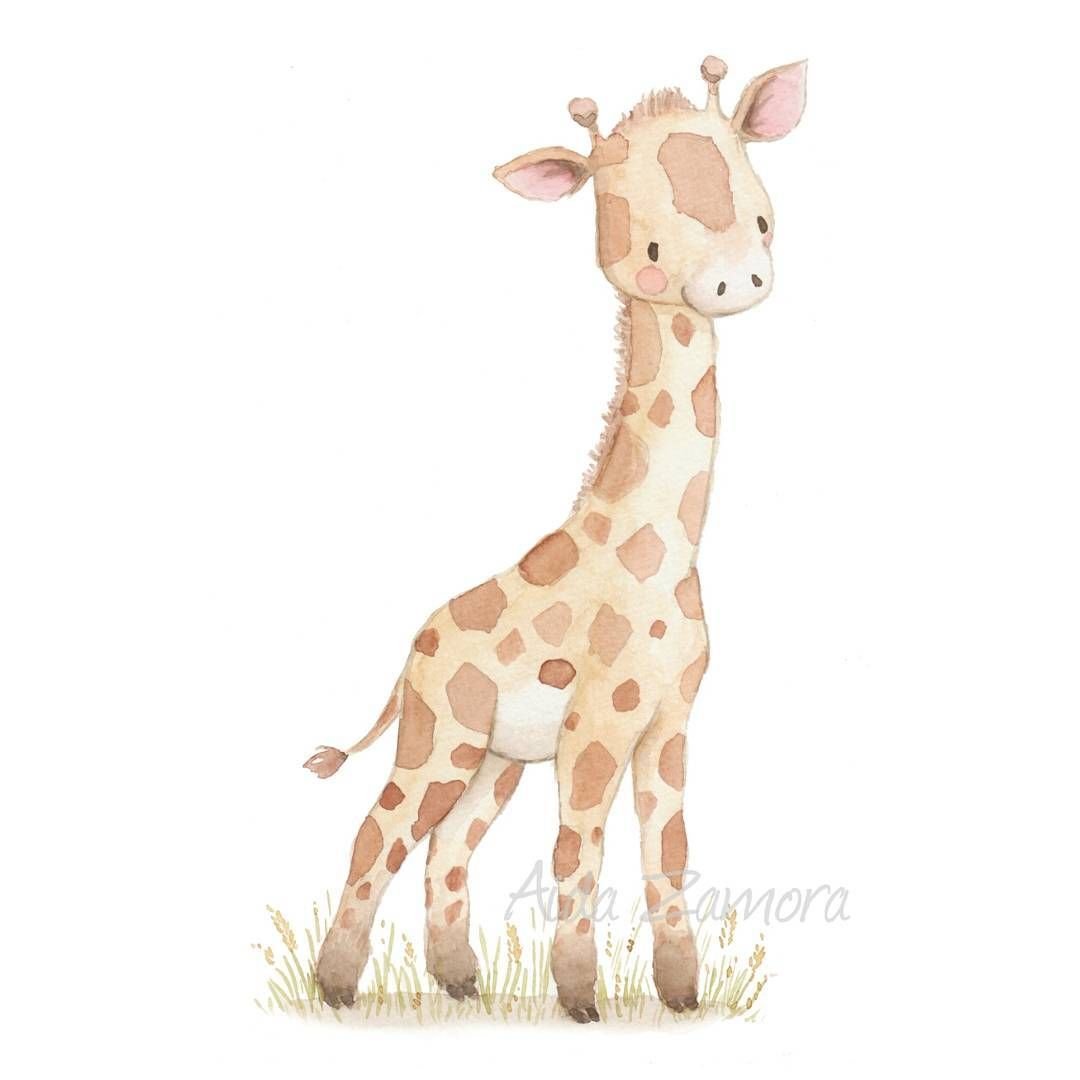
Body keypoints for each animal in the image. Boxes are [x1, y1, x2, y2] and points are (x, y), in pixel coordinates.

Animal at [303, 55, 806, 1022]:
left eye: (764, 214)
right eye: (650, 251)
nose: (736, 278)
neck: (659, 554)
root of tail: (412, 652)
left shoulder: (671, 717)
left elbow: (668, 851)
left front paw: (680, 995)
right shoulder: (599, 721)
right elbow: (579, 851)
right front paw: (581, 1002)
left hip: (495, 759)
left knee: (448, 844)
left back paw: (458, 983)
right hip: (443, 734)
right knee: (379, 829)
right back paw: (338, 989)